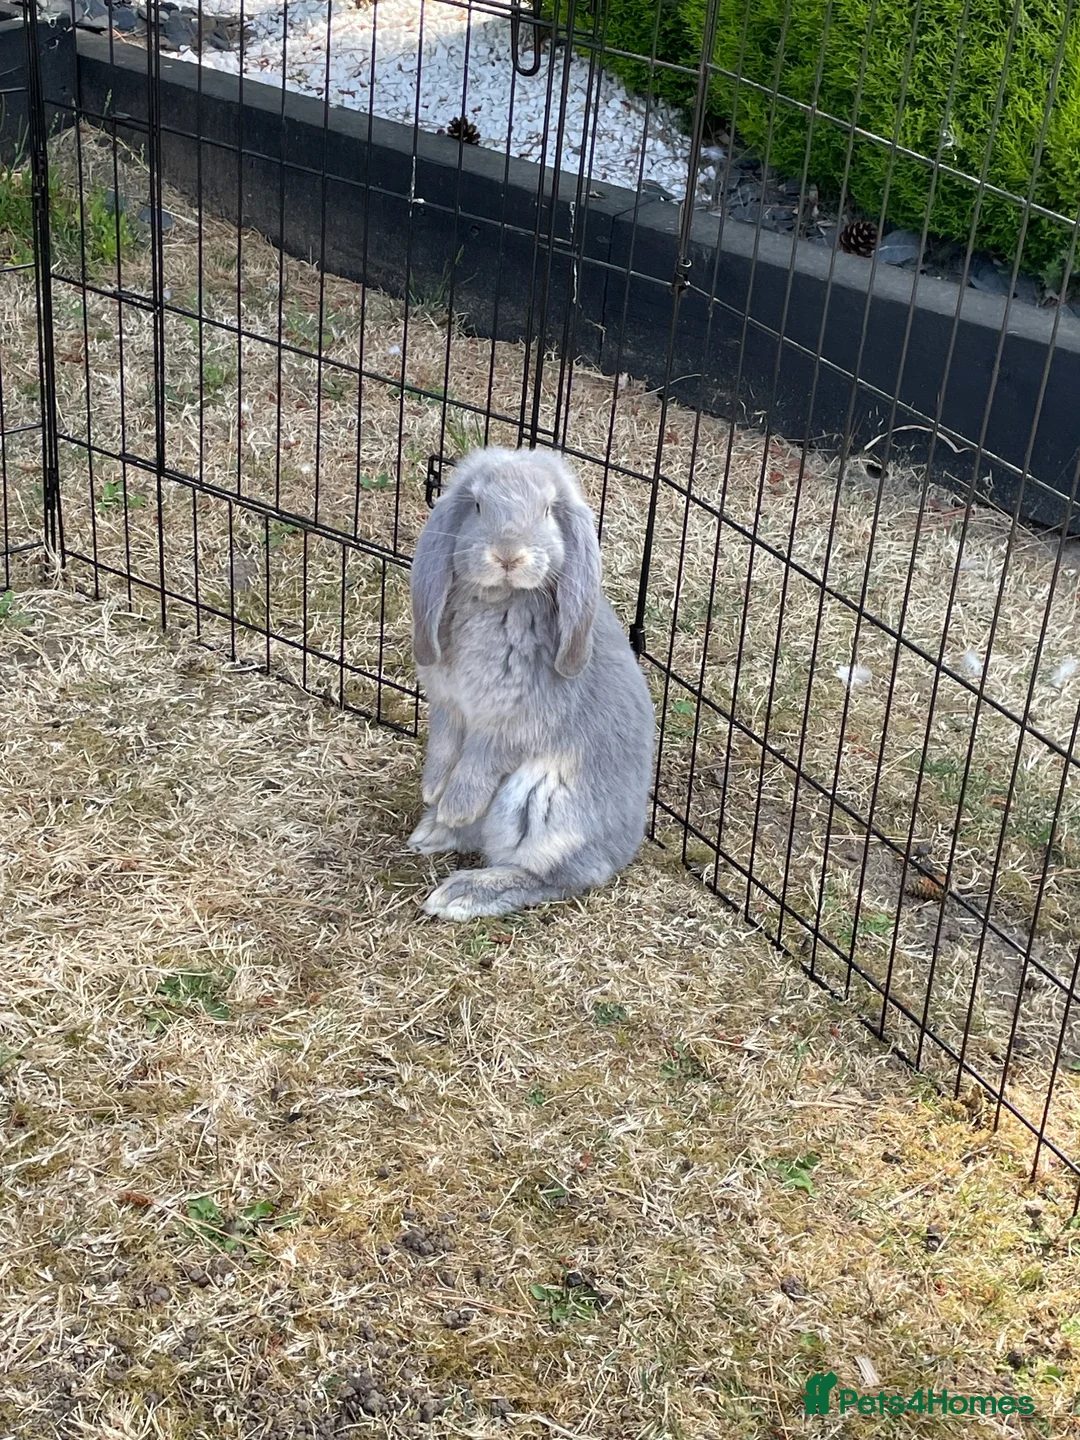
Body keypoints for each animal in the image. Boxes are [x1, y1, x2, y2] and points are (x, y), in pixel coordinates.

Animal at [407, 446, 655, 920]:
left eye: (546, 510)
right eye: (478, 505)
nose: (508, 555)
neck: (500, 601)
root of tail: (625, 847)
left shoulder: (510, 725)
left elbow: (478, 764)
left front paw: (454, 805)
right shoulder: (449, 707)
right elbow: (444, 749)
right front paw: (433, 794)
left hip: (544, 806)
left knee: (557, 876)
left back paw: (464, 891)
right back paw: (432, 832)